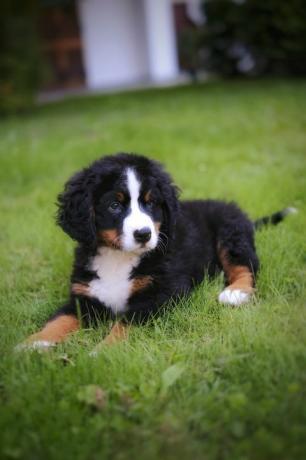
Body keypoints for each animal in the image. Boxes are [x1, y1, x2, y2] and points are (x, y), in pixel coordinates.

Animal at [17, 154, 296, 352]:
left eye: (151, 203)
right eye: (114, 205)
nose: (143, 234)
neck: (118, 258)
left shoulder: (161, 294)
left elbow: (126, 323)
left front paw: (104, 350)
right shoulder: (85, 295)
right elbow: (60, 319)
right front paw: (33, 344)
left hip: (231, 233)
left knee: (246, 266)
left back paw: (236, 292)